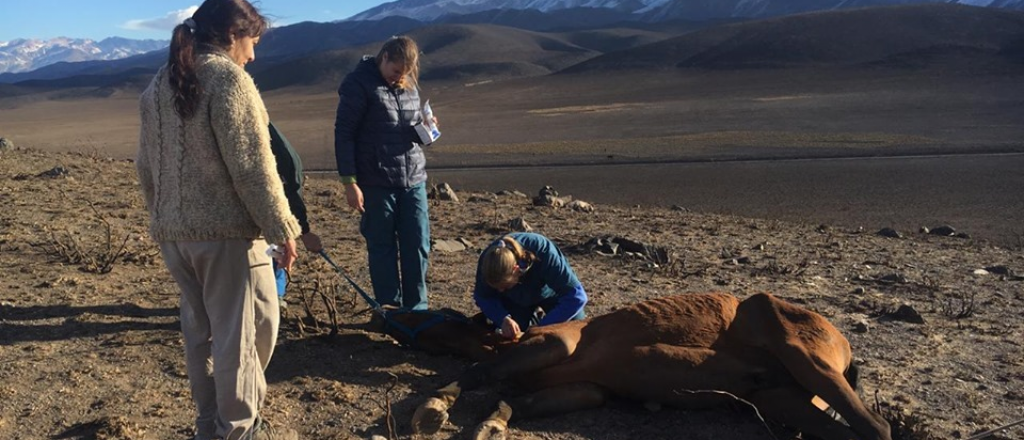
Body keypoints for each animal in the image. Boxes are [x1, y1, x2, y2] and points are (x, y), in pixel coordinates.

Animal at [411, 292, 892, 440]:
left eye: (440, 319)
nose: (397, 322)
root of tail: (843, 341)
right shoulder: (586, 389)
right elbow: (513, 404)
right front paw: (489, 425)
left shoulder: (556, 345)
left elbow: (481, 375)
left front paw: (434, 408)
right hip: (780, 399)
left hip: (803, 356)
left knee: (877, 427)